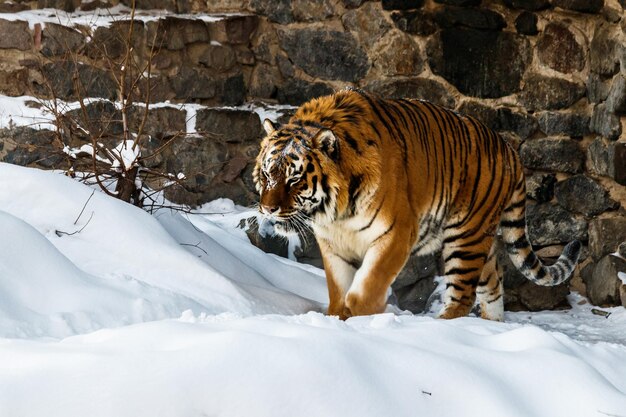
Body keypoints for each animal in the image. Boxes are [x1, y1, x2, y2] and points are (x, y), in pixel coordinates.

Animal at [252, 88, 580, 322]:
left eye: (295, 180)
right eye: (267, 174)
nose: (267, 209)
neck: (336, 213)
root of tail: (510, 148)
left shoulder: (396, 233)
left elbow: (364, 291)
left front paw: (362, 319)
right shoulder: (334, 244)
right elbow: (338, 293)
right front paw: (337, 319)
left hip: (464, 236)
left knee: (463, 295)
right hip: (480, 241)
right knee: (493, 284)